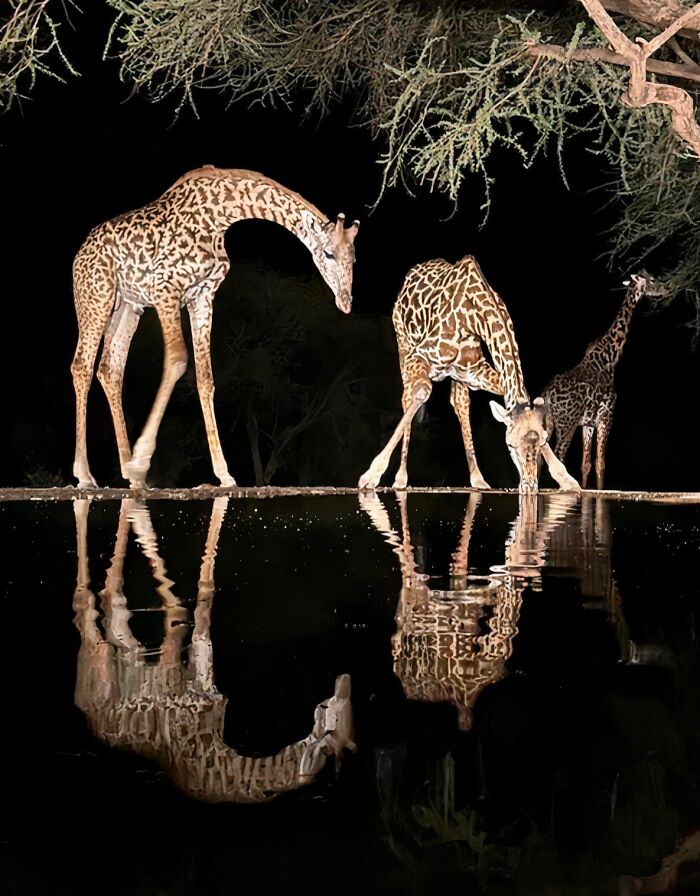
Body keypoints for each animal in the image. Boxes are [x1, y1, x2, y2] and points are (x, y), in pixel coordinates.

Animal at [71, 165, 359, 489]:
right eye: (328, 253)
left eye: (354, 258)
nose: (345, 302)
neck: (219, 217)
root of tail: (80, 253)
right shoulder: (166, 291)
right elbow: (177, 360)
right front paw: (143, 458)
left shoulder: (203, 297)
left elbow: (206, 378)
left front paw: (224, 473)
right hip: (96, 298)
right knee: (82, 366)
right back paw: (86, 474)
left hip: (127, 307)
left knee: (110, 369)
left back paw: (130, 472)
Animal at [72, 496, 355, 802]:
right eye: (331, 718)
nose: (343, 681)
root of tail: (85, 709)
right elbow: (190, 608)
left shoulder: (204, 680)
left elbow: (200, 609)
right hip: (101, 664)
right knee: (92, 607)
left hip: (127, 651)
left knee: (115, 614)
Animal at [358, 255, 580, 493]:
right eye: (509, 445)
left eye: (544, 441)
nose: (529, 486)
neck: (474, 318)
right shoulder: (419, 356)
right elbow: (421, 393)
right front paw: (370, 476)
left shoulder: (475, 371)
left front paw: (567, 480)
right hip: (404, 343)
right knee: (408, 396)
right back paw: (400, 479)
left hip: (458, 375)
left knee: (460, 403)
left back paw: (478, 479)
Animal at [542, 272, 651, 489]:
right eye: (648, 279)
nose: (660, 286)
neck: (610, 357)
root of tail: (548, 394)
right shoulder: (606, 417)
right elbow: (601, 463)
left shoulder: (588, 423)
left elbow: (586, 464)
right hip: (566, 423)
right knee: (558, 456)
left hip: (550, 421)